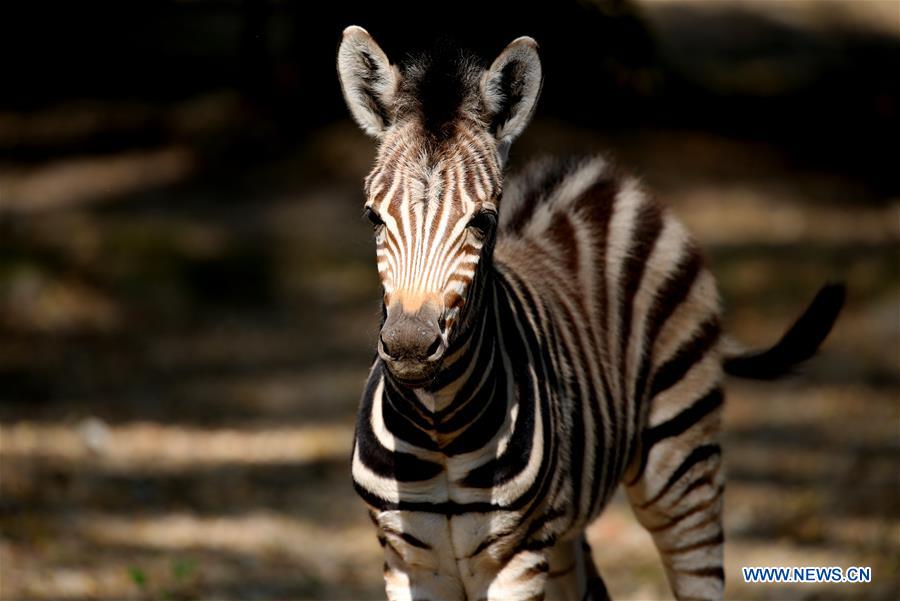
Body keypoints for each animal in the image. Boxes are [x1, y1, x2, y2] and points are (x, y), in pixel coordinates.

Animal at [337, 26, 844, 601]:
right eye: (373, 217)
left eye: (483, 221)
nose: (408, 345)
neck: (438, 425)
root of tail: (609, 179)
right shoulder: (409, 562)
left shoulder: (517, 559)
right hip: (564, 525)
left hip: (681, 472)